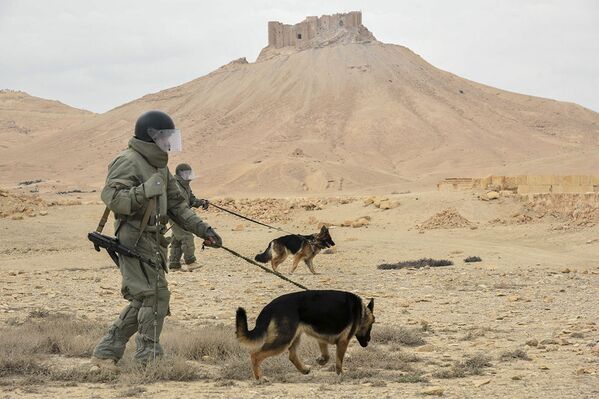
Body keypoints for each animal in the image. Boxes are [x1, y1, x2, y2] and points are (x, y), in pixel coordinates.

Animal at [236, 290, 372, 380]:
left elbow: (327, 355)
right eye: (371, 324)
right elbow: (339, 361)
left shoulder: (321, 338)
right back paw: (259, 378)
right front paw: (341, 374)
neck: (362, 311)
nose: (369, 340)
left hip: (294, 337)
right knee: (255, 355)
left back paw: (304, 369)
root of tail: (269, 307)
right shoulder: (343, 341)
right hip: (283, 340)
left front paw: (321, 361)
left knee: (292, 355)